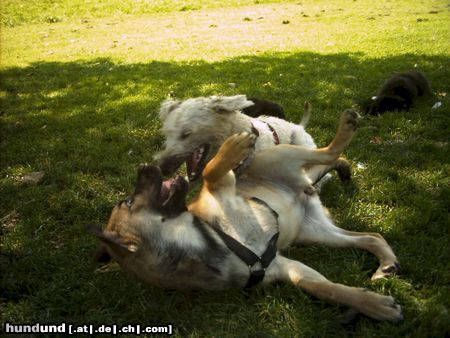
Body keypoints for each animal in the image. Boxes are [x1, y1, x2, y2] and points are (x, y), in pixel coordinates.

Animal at [86, 109, 402, 320]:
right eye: (128, 201)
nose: (144, 166)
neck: (205, 244)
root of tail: (305, 186)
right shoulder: (285, 267)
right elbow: (325, 288)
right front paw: (374, 306)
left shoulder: (221, 186)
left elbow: (212, 169)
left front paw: (232, 147)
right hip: (317, 232)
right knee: (371, 236)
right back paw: (386, 264)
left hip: (279, 155)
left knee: (328, 152)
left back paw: (346, 125)